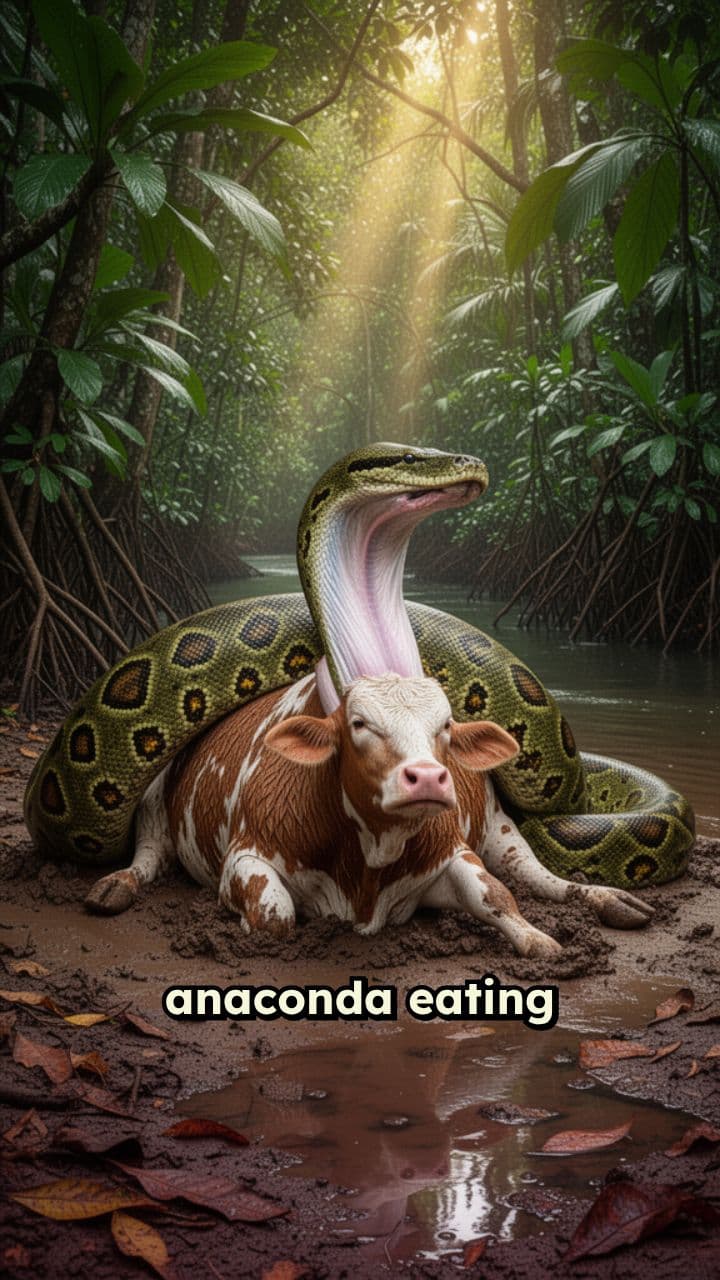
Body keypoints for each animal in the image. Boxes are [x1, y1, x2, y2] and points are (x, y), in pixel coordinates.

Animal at [85, 673, 653, 956]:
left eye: (446, 724)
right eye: (358, 723)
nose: (428, 777)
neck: (367, 863)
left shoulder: (452, 851)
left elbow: (497, 895)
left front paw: (539, 940)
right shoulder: (245, 854)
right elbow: (275, 913)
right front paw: (240, 924)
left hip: (501, 827)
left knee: (535, 874)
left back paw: (612, 900)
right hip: (153, 800)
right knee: (149, 855)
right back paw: (114, 886)